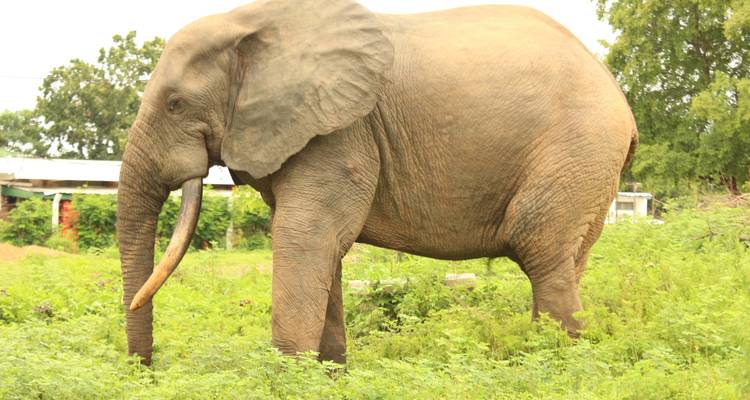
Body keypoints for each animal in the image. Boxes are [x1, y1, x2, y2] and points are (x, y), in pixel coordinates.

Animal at [117, 0, 637, 365]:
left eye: (175, 104)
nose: (147, 370)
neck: (249, 23)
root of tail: (618, 94)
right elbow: (324, 249)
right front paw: (327, 376)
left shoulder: (341, 132)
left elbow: (304, 237)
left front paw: (288, 380)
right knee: (565, 260)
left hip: (578, 148)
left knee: (541, 249)